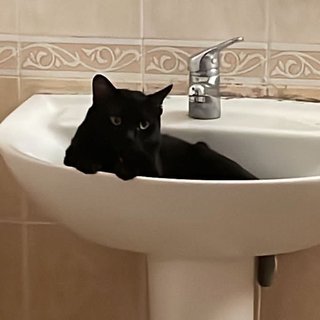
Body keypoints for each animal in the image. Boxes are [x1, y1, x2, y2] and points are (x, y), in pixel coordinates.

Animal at [63, 74, 256, 181]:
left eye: (143, 125)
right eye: (116, 120)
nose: (129, 137)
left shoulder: (154, 170)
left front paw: (125, 169)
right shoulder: (71, 152)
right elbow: (77, 156)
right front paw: (90, 162)